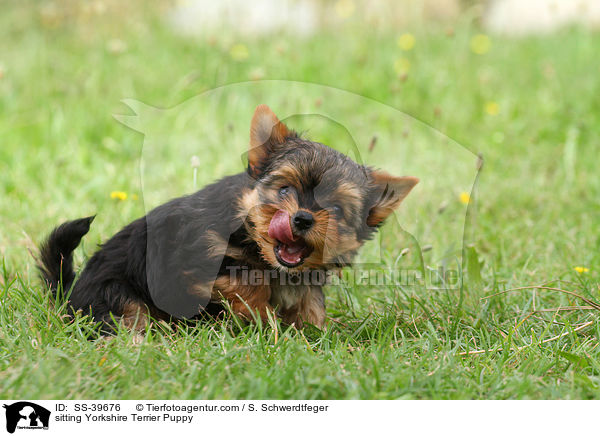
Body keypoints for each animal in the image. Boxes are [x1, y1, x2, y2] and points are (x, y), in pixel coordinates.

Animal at [38, 104, 418, 330]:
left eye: (336, 209)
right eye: (285, 190)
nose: (302, 219)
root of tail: (70, 294)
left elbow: (309, 303)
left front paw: (315, 333)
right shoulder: (201, 254)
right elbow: (247, 282)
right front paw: (267, 325)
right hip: (115, 294)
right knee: (128, 317)